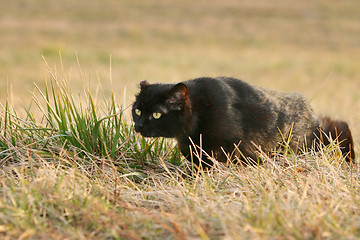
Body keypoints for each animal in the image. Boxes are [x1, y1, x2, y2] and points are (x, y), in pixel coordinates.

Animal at [132, 77, 354, 167]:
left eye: (156, 114)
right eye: (137, 111)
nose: (139, 125)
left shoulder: (230, 145)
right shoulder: (191, 146)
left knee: (340, 126)